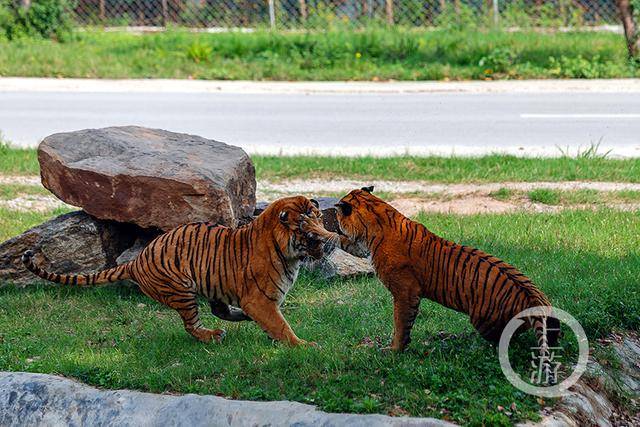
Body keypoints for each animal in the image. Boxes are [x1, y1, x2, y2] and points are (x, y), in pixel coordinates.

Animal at [23, 197, 336, 348]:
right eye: (307, 229)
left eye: (320, 219)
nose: (330, 240)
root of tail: (135, 261)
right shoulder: (259, 299)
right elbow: (281, 325)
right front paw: (303, 345)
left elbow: (275, 322)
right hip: (182, 291)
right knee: (193, 325)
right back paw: (213, 336)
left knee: (220, 310)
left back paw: (236, 321)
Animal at [332, 186, 556, 356]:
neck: (379, 216)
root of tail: (533, 297)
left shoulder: (405, 293)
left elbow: (401, 323)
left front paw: (395, 349)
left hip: (484, 321)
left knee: (504, 340)